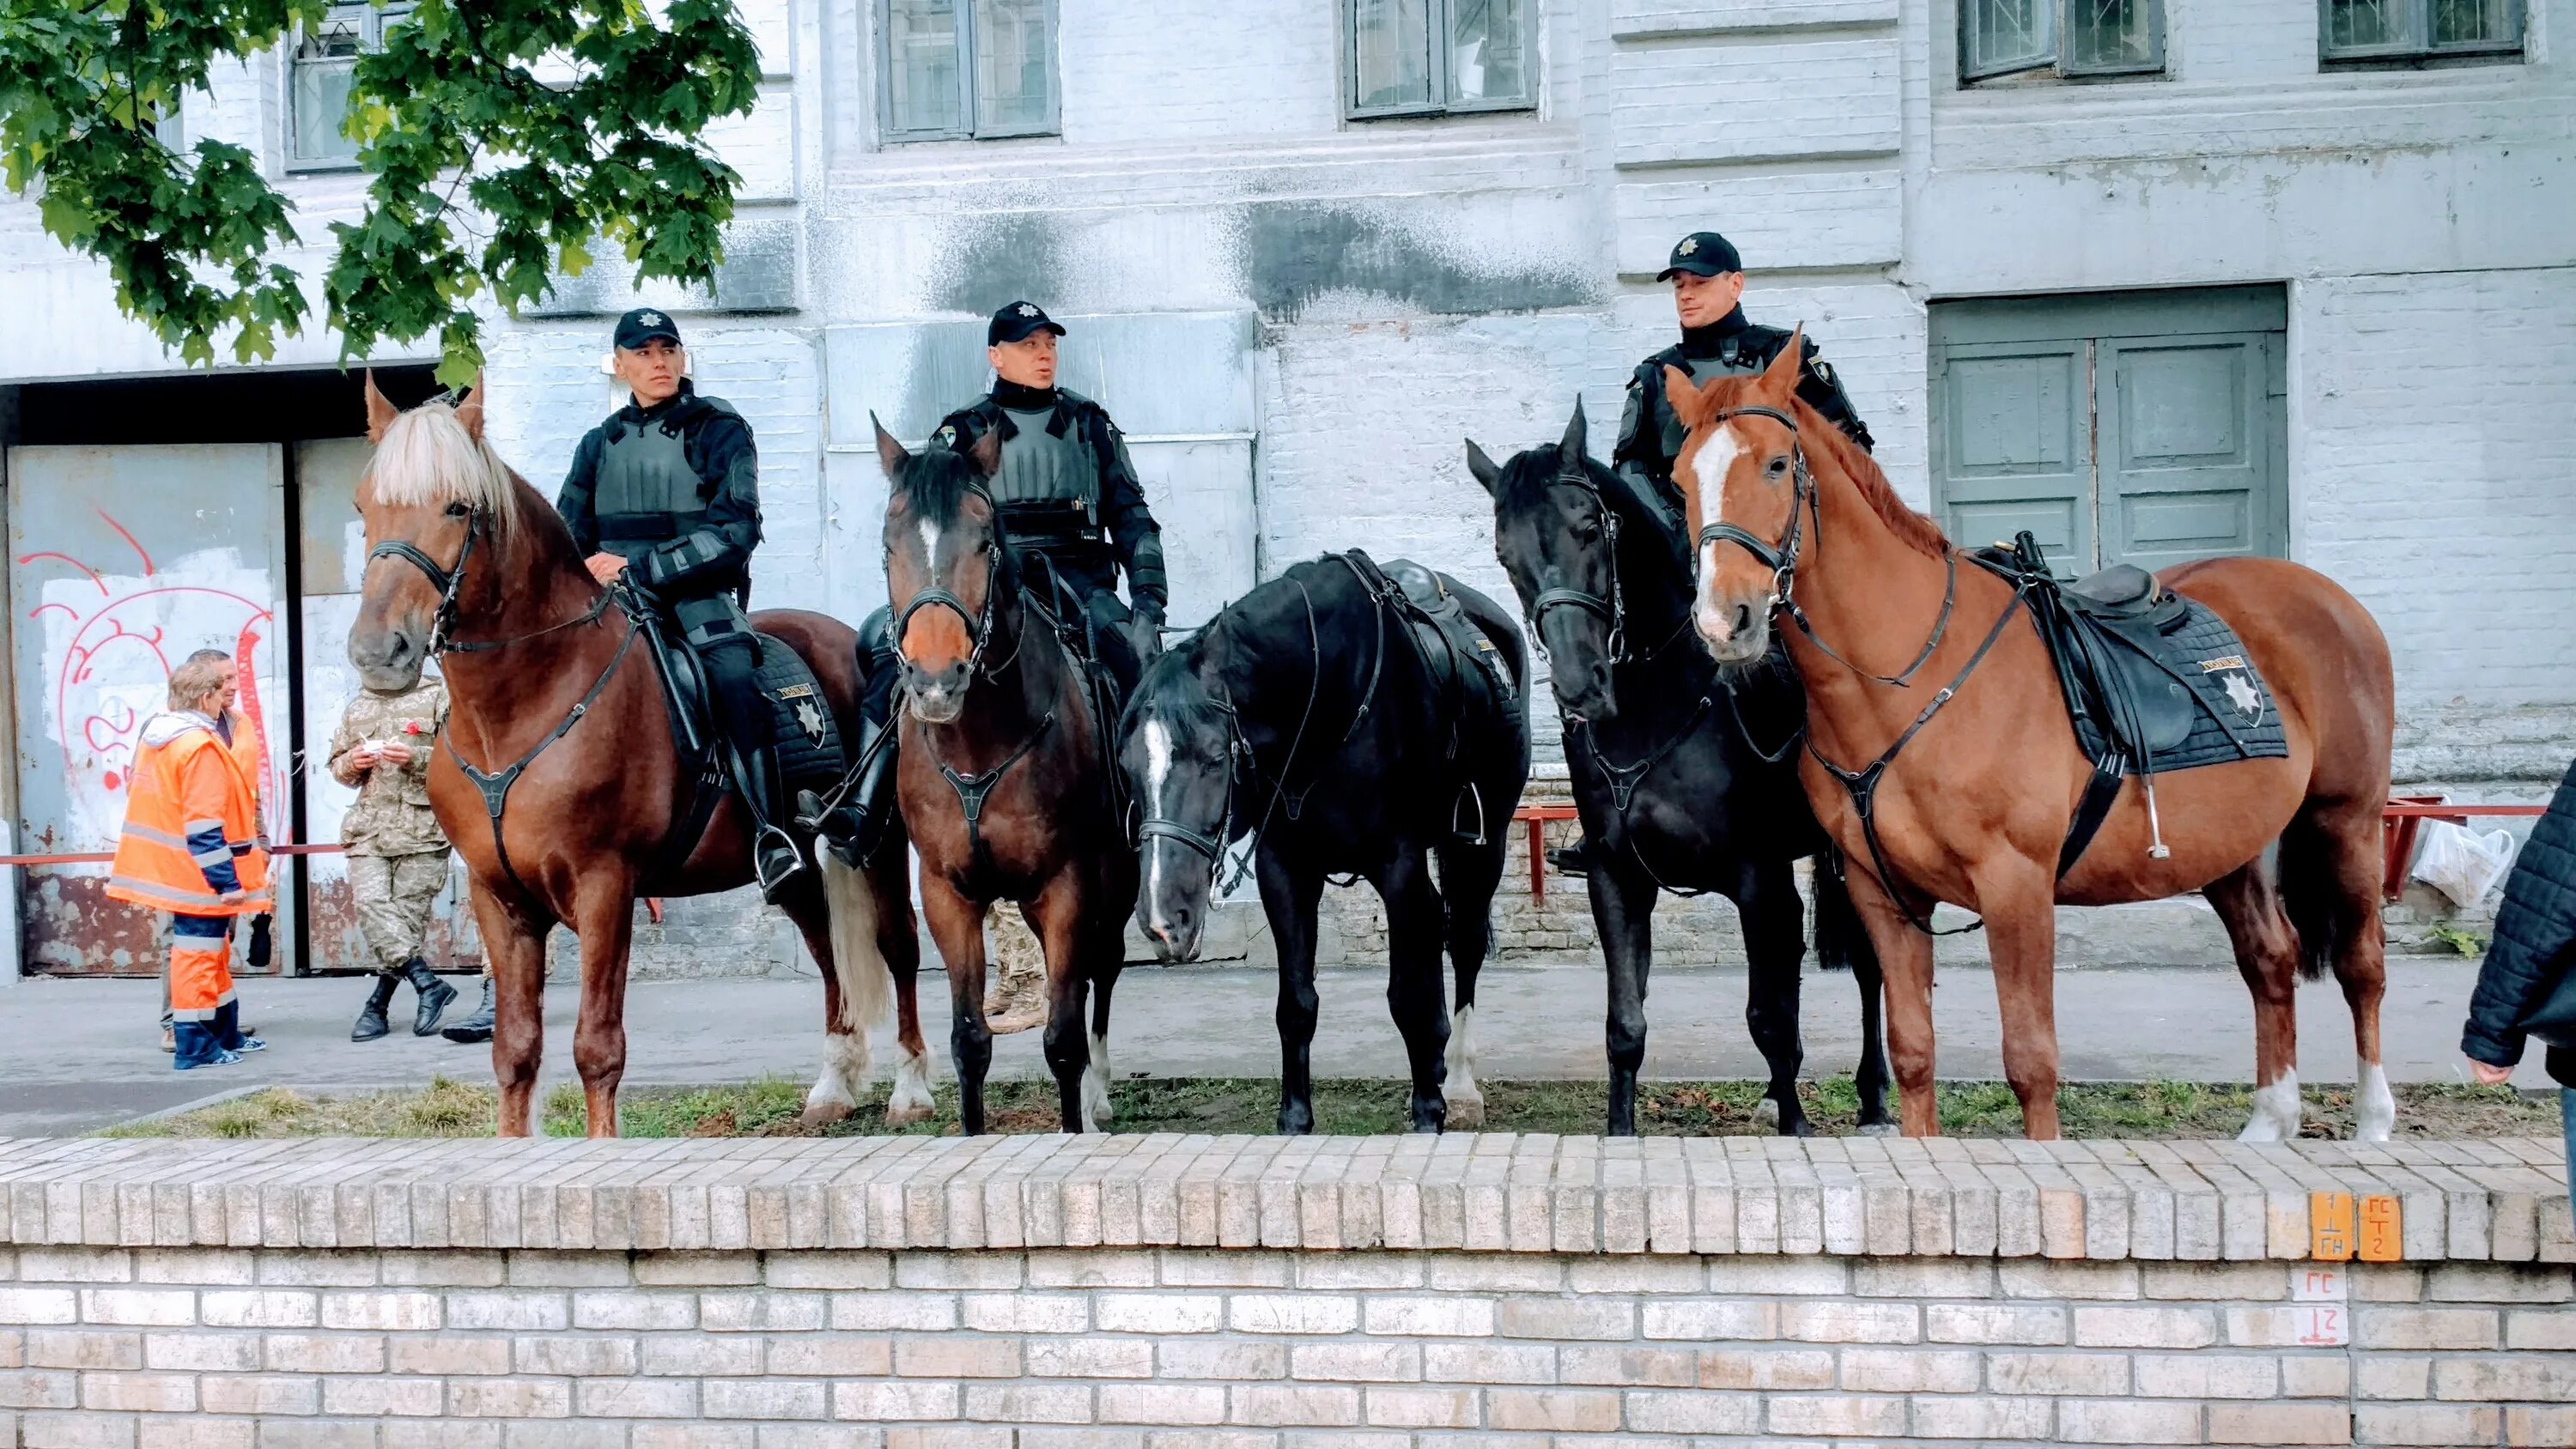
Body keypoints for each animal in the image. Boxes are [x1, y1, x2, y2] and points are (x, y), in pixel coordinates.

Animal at [345, 370, 938, 1132]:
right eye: (364, 505)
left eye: (456, 506)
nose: (378, 652)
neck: (518, 712)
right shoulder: (498, 897)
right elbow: (515, 1049)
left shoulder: (604, 887)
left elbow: (597, 1047)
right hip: (801, 863)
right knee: (825, 947)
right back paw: (834, 1085)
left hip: (878, 842)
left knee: (898, 946)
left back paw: (911, 1089)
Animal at [881, 416, 1133, 1132]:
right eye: (888, 545)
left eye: (985, 542)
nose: (937, 681)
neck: (978, 743)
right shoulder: (948, 894)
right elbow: (970, 1040)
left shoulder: (1067, 884)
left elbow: (1064, 1037)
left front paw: (1078, 1116)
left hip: (1115, 878)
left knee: (1104, 968)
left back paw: (1100, 1095)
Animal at [1113, 555, 1515, 1132]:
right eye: (1127, 767)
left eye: (1215, 756)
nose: (1165, 920)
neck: (1327, 708)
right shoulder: (1285, 872)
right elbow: (1297, 1003)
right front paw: (1295, 1118)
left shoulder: (1397, 865)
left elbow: (1407, 997)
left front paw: (1428, 1111)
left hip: (1484, 844)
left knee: (1462, 942)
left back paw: (1458, 1083)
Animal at [1473, 401, 1896, 1137]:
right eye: (1506, 554)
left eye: (1589, 529)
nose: (1581, 686)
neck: (1657, 702)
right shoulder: (1618, 880)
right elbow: (1626, 1027)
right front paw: (1621, 1130)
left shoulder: (1760, 883)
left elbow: (1769, 1018)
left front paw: (1797, 1126)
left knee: (1869, 968)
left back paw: (1874, 1099)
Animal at [1669, 342, 2391, 1148]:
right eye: (1680, 480)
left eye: (1774, 464)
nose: (1723, 620)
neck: (1910, 680)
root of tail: (2329, 600)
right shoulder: (1883, 894)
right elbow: (1912, 1053)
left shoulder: (2016, 885)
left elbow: (2031, 1061)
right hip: (2229, 846)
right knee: (2270, 958)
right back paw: (2271, 1121)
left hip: (2347, 821)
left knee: (2362, 965)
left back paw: (2373, 1121)